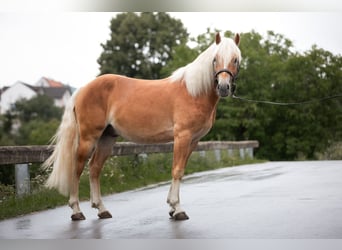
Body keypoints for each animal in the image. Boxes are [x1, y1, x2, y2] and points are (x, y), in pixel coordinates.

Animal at [42, 31, 240, 221]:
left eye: (235, 59)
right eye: (215, 59)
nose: (223, 87)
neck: (193, 92)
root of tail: (82, 89)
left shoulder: (193, 141)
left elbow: (181, 169)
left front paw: (171, 207)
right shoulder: (182, 136)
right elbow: (177, 170)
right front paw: (178, 209)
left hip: (107, 137)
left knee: (95, 168)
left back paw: (102, 209)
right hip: (88, 137)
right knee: (78, 167)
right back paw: (76, 211)